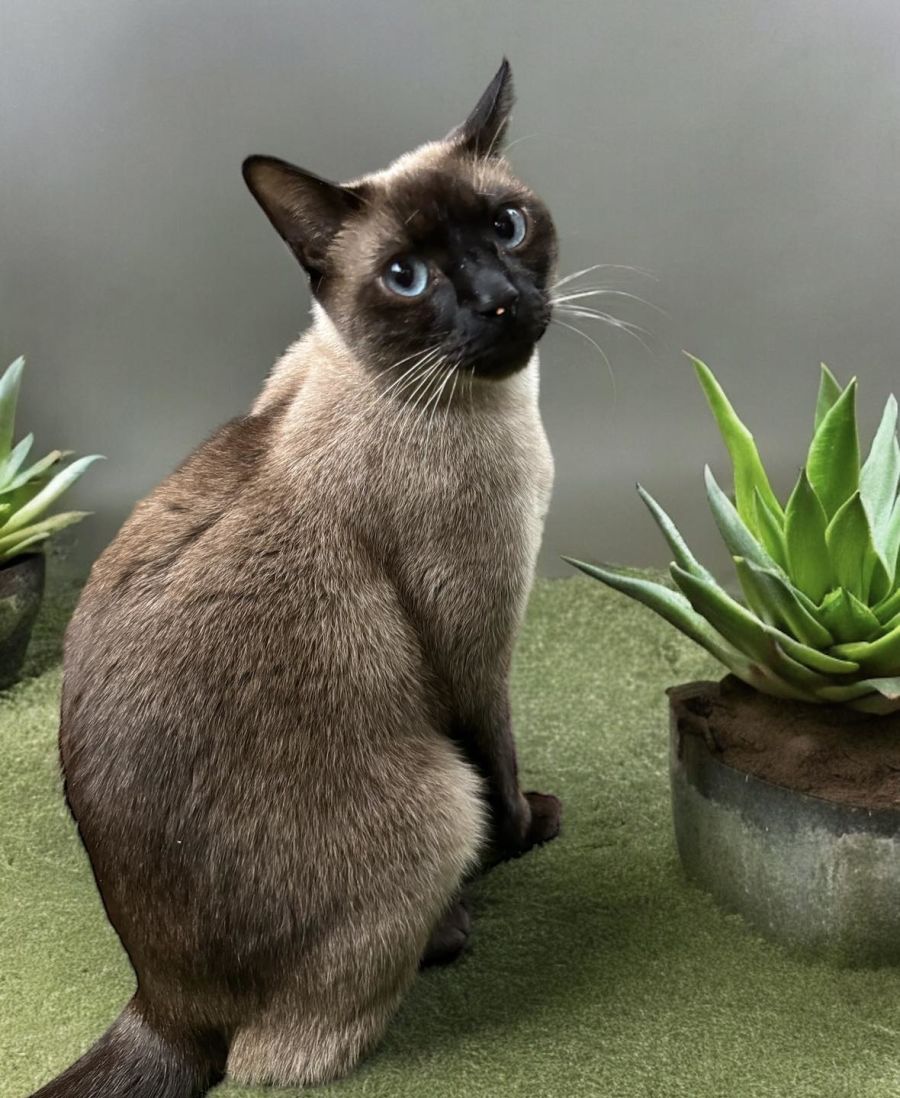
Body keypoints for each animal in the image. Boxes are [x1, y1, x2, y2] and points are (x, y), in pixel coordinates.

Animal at [33, 58, 561, 1097]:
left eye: (507, 228)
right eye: (407, 277)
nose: (499, 302)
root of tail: (162, 1002)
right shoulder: (476, 653)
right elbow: (502, 762)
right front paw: (529, 833)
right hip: (437, 804)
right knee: (289, 1048)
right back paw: (452, 925)